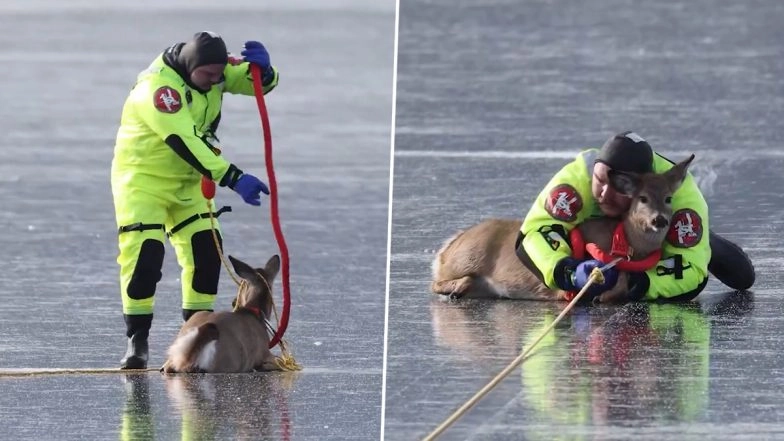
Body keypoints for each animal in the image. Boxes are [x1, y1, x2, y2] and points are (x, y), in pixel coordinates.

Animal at [431, 155, 695, 304]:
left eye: (668, 198)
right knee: (435, 281)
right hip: (465, 258)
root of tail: (447, 246)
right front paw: (599, 295)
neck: (625, 243)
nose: (659, 220)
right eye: (642, 198)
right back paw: (456, 289)